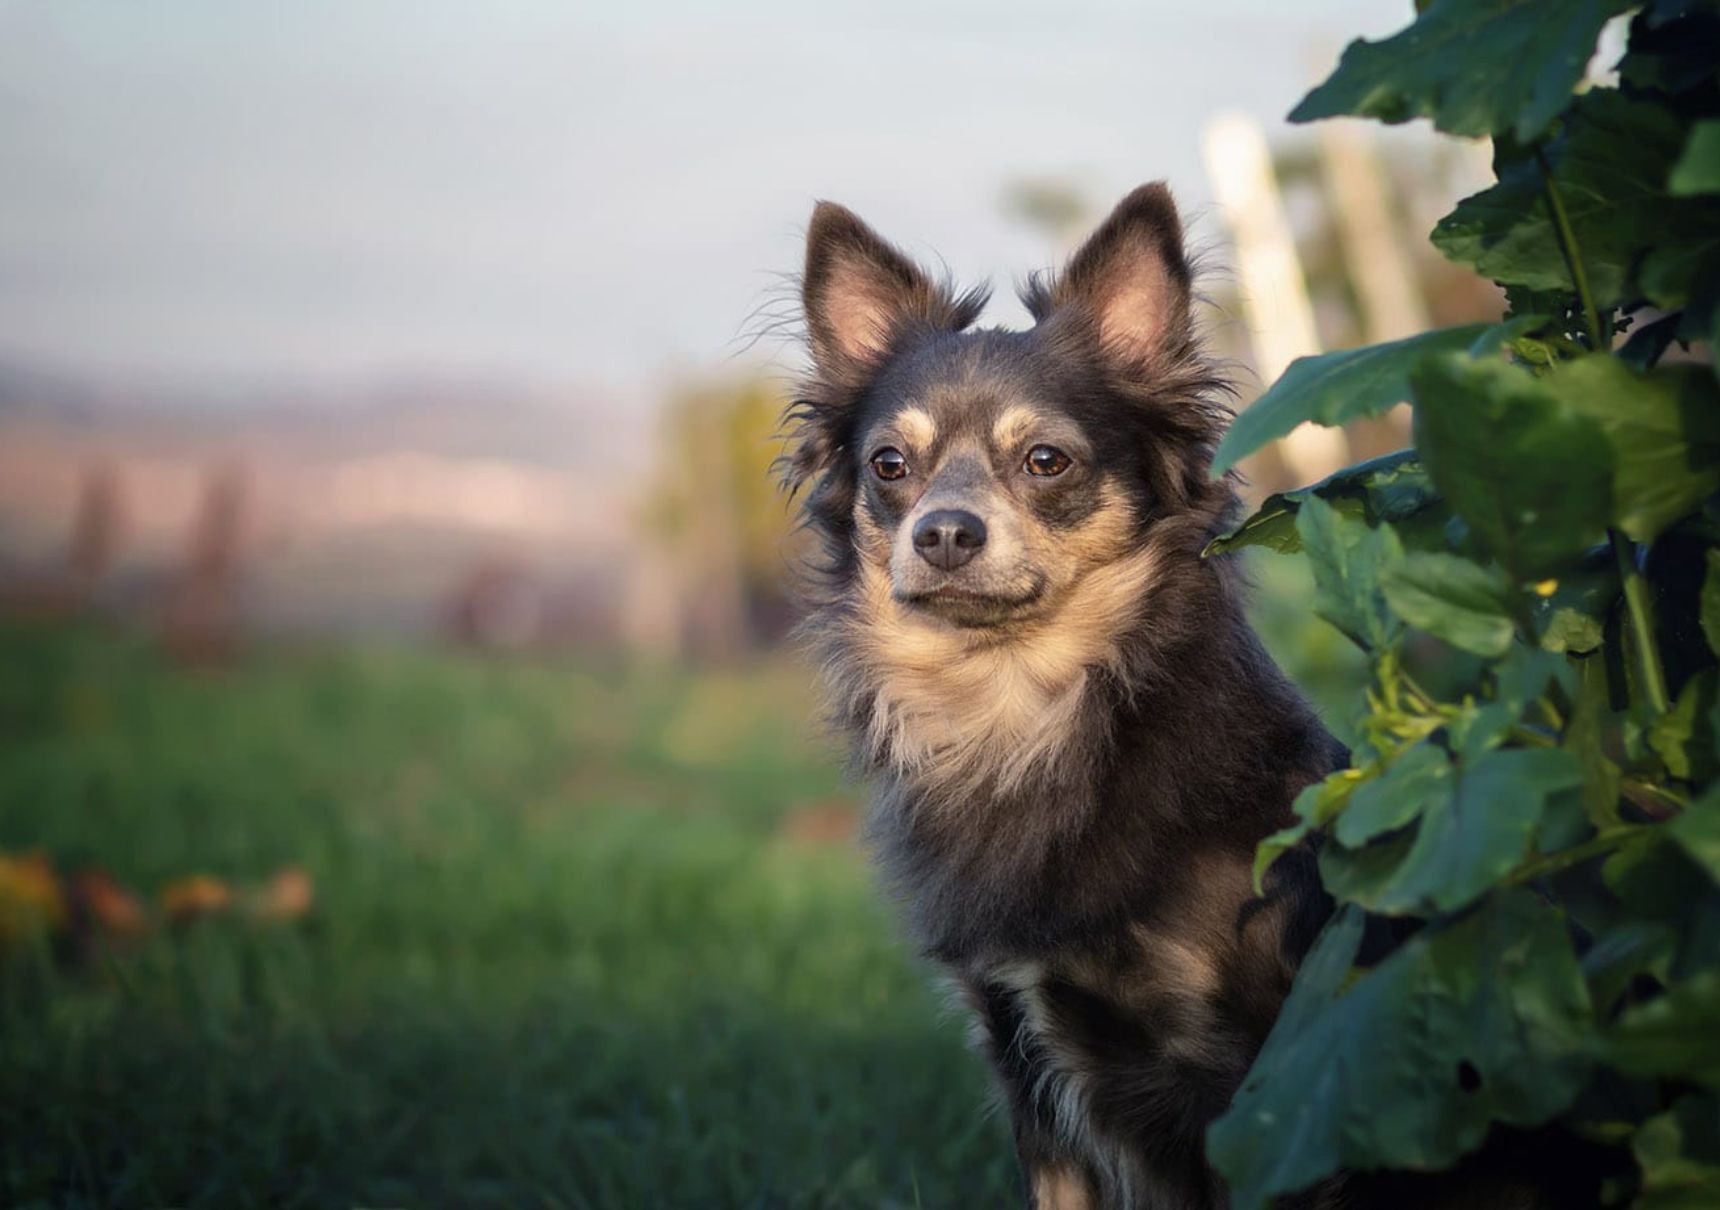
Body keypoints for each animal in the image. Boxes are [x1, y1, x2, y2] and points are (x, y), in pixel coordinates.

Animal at [780, 184, 1582, 1204]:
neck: (1024, 713)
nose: (944, 533)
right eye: (889, 466)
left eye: (1046, 462)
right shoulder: (1027, 1067)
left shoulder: (1254, 1097)